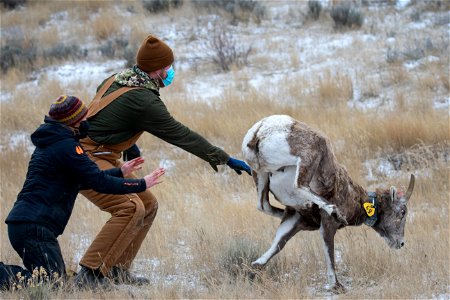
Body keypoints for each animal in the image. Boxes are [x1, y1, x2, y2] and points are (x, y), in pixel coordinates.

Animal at [243, 115, 414, 292]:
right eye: (402, 212)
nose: (401, 243)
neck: (354, 197)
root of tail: (260, 131)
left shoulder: (294, 221)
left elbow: (275, 247)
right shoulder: (327, 225)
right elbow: (329, 253)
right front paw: (337, 286)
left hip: (260, 174)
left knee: (263, 205)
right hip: (309, 156)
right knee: (299, 185)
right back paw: (334, 210)